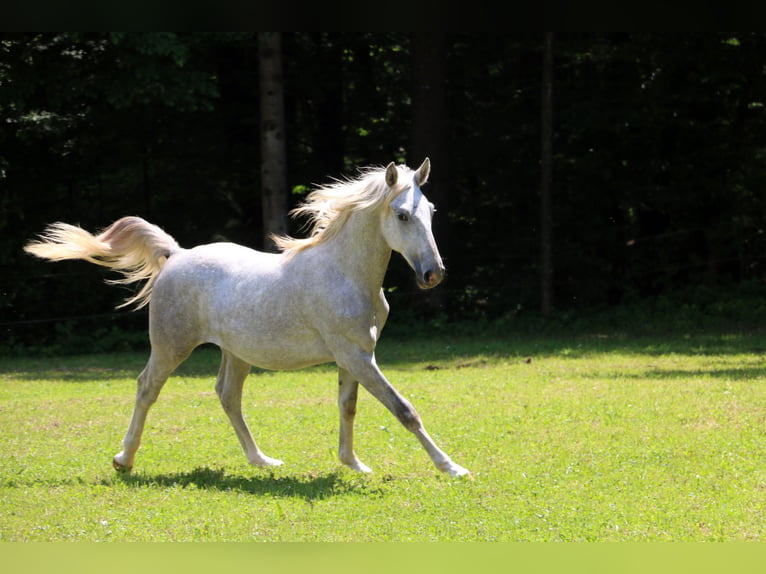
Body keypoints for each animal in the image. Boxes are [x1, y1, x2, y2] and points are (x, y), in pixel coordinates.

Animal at [24, 158, 472, 476]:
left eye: (431, 210)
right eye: (402, 215)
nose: (433, 274)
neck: (344, 272)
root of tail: (176, 255)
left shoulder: (354, 356)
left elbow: (347, 407)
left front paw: (354, 464)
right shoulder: (357, 356)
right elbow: (403, 409)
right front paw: (451, 467)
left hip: (235, 353)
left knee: (227, 396)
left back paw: (261, 461)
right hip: (171, 346)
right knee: (147, 388)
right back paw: (124, 460)